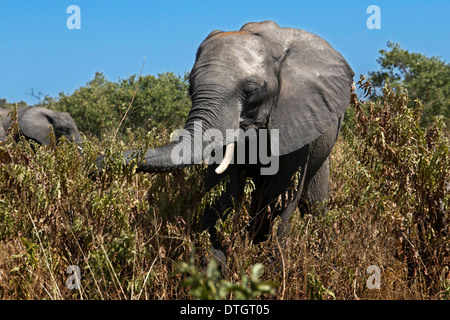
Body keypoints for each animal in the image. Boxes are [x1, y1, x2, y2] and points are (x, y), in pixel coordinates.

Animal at [96, 19, 356, 255]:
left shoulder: (295, 118)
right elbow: (221, 196)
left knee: (314, 203)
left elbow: (278, 199)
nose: (97, 164)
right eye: (190, 89)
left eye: (250, 91)